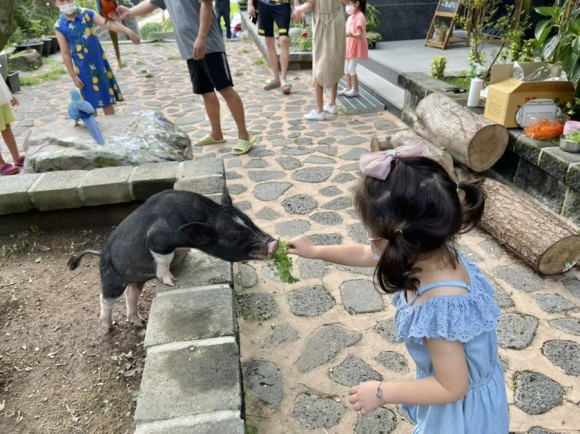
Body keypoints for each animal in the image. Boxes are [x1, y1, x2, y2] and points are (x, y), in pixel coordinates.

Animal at [68, 188, 276, 330]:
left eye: (249, 220)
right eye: (233, 237)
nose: (273, 243)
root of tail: (102, 253)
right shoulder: (157, 238)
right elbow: (164, 258)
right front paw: (172, 282)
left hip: (134, 279)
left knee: (131, 293)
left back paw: (140, 322)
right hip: (112, 278)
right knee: (105, 298)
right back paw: (108, 328)